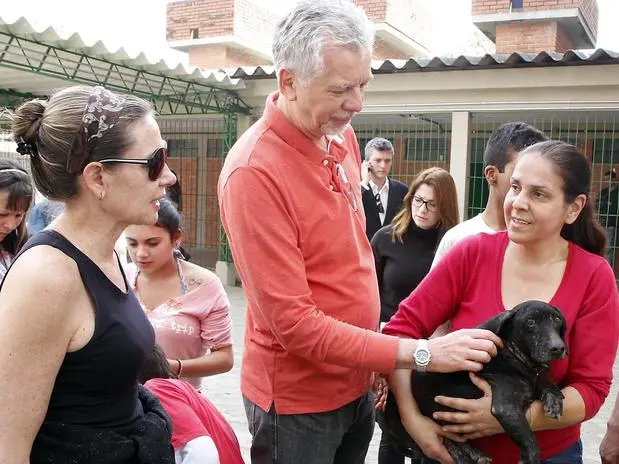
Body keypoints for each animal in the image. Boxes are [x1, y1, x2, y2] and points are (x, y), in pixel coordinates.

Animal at [376, 300, 568, 464]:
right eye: (530, 321)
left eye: (557, 319)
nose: (558, 348)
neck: (513, 356)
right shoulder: (506, 408)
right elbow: (531, 442)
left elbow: (545, 382)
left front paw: (553, 397)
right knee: (447, 440)